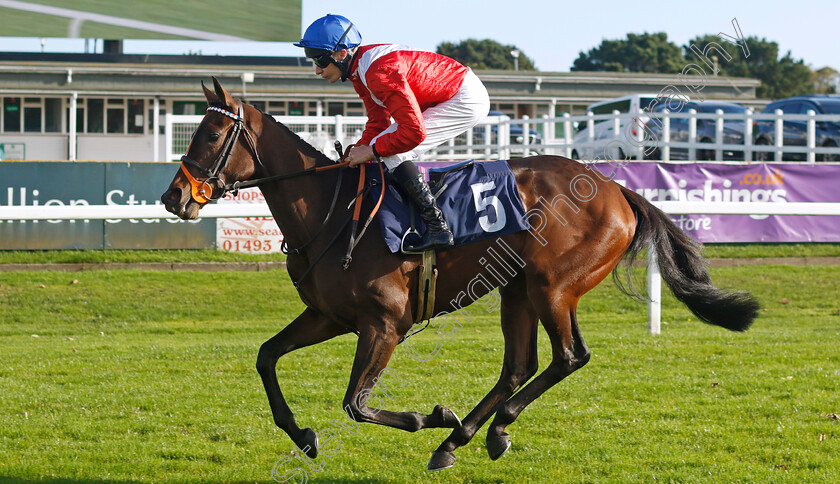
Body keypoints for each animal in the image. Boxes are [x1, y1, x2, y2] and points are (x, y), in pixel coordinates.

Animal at [161, 77, 756, 470]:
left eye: (210, 136)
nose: (174, 198)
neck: (330, 208)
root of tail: (617, 189)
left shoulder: (385, 324)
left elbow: (356, 404)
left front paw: (431, 416)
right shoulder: (329, 316)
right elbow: (267, 356)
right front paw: (304, 436)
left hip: (552, 286)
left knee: (569, 357)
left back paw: (473, 431)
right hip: (517, 289)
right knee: (520, 365)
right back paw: (468, 437)